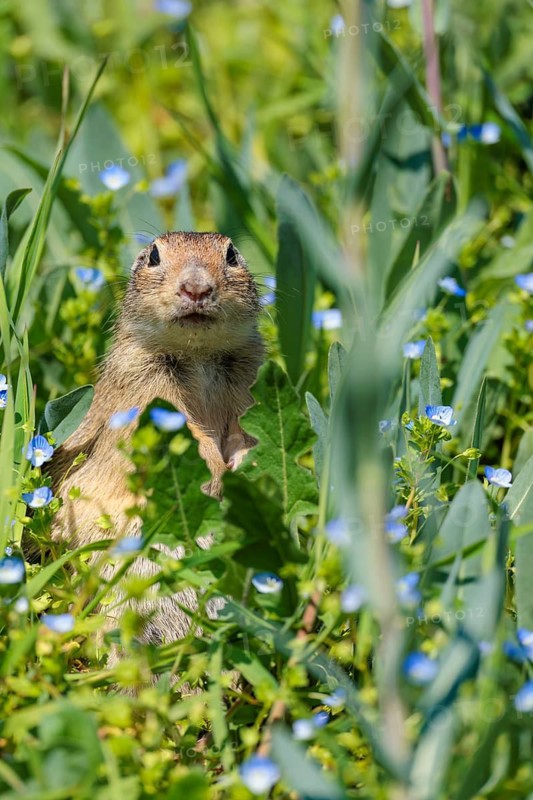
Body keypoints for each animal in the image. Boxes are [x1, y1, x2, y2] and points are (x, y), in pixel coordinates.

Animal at [48, 231, 264, 668]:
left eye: (232, 254)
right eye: (153, 255)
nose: (196, 289)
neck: (198, 355)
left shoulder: (246, 386)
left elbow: (245, 434)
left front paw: (243, 473)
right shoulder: (143, 389)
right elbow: (190, 440)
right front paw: (216, 478)